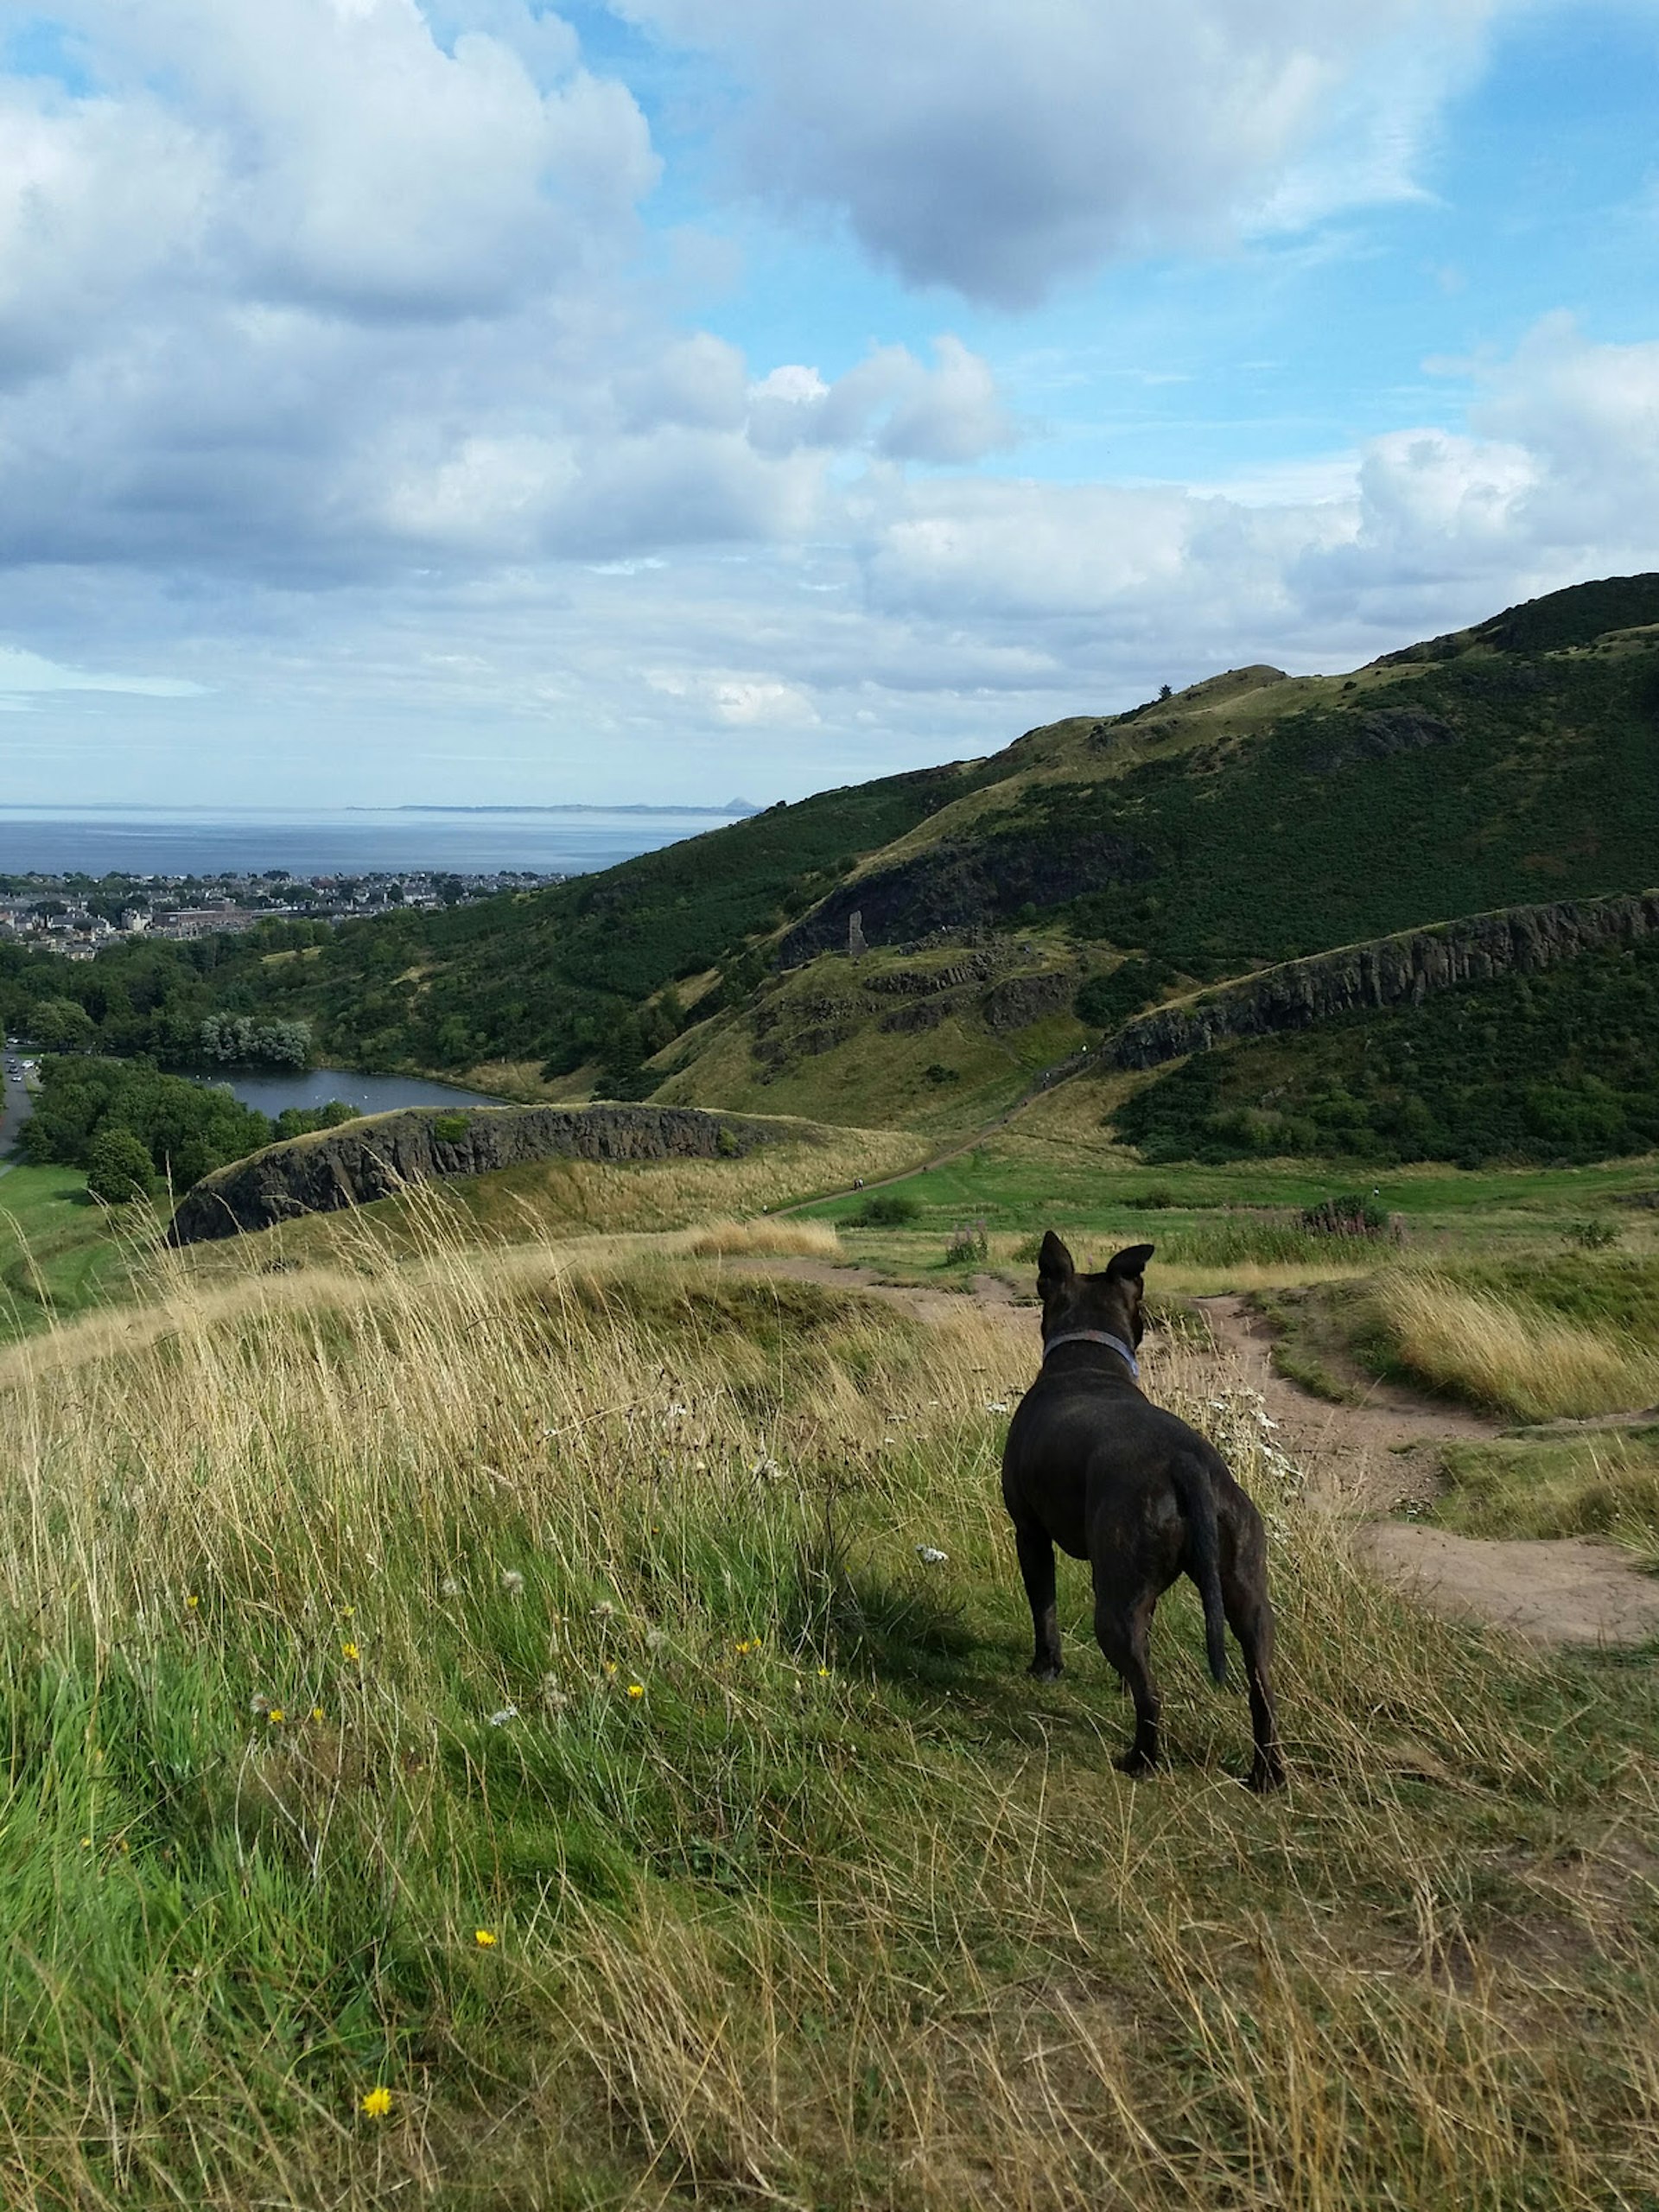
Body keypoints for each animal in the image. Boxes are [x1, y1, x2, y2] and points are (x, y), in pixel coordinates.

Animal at [1000, 1238, 1282, 1787]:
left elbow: (1043, 1608)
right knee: (1261, 1689)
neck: (1086, 1357)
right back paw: (1267, 1775)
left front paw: (1045, 1668)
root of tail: (1186, 1464)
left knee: (1154, 1697)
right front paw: (1118, 1685)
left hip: (1114, 1600)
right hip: (1245, 1594)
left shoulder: (1030, 1533)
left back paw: (1140, 1760)